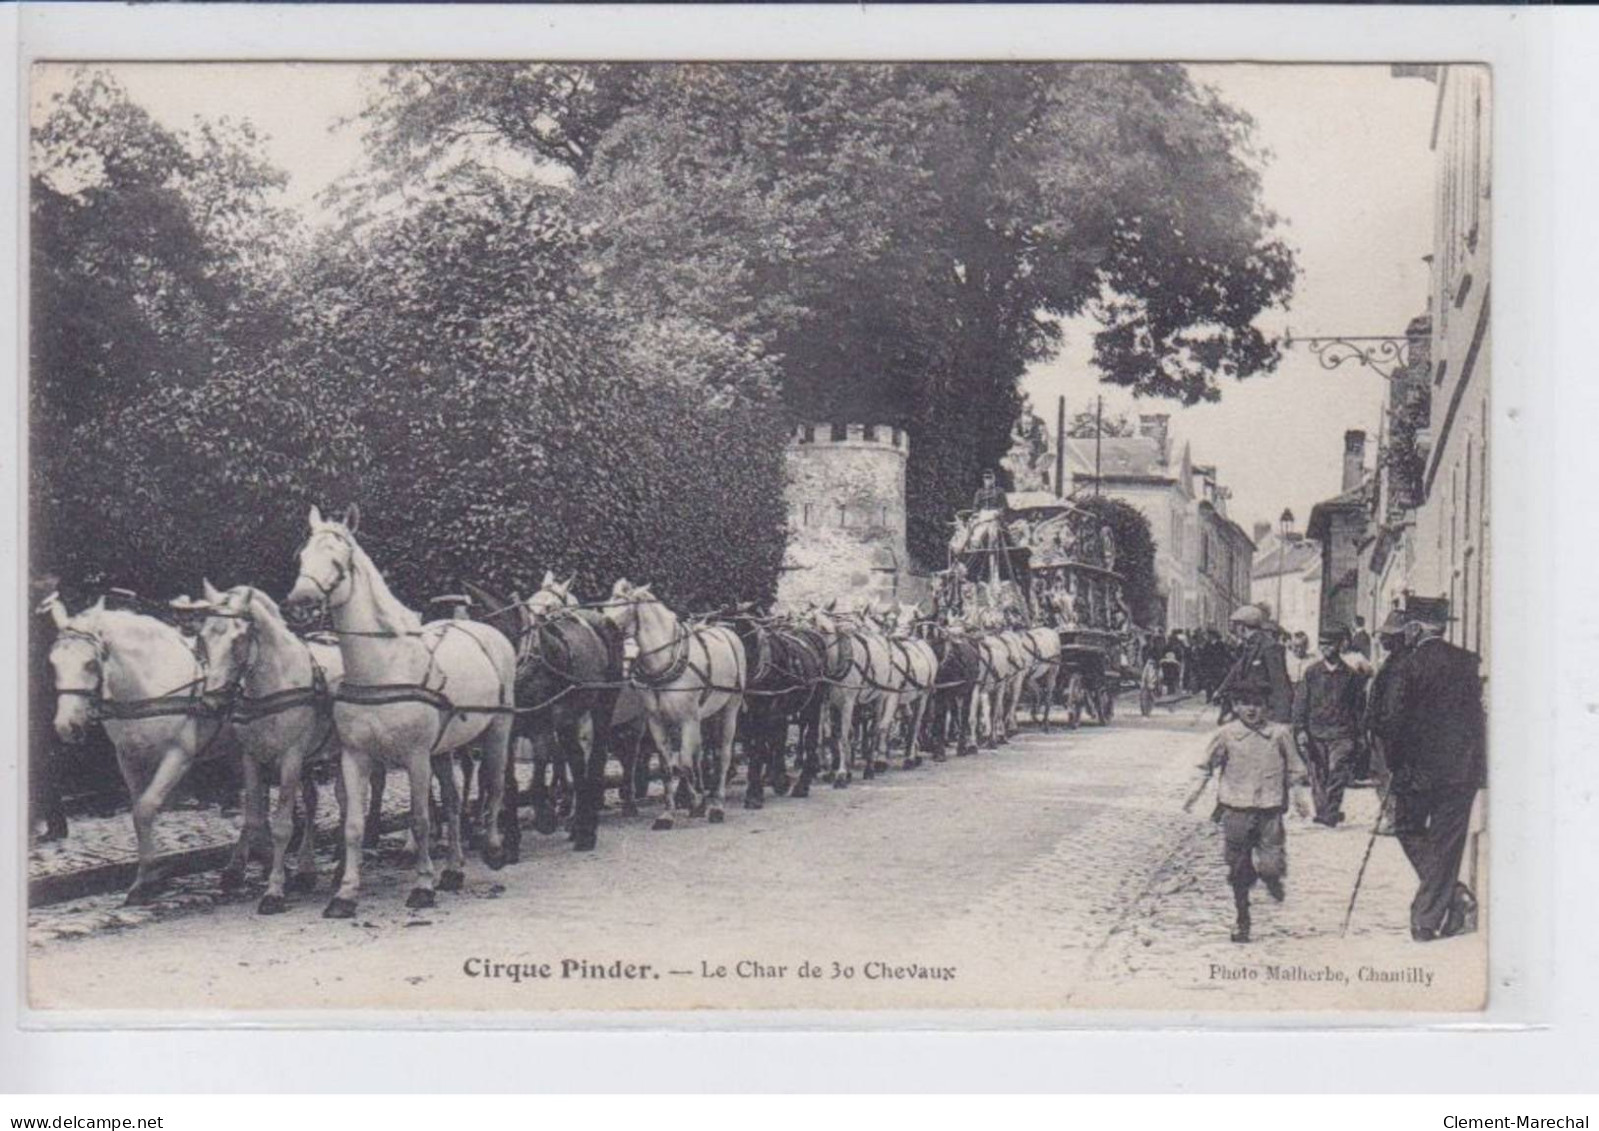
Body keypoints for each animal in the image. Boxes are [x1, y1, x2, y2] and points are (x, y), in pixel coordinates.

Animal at [38, 591, 236, 902]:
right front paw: (145, 878)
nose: (66, 727)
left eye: (90, 663)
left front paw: (149, 879)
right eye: (53, 663)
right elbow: (136, 812)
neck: (151, 684)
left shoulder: (178, 756)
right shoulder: (129, 759)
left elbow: (146, 808)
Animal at [195, 585, 343, 908]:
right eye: (203, 636)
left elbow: (282, 825)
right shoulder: (251, 759)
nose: (212, 701)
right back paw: (307, 870)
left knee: (348, 801)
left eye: (238, 638)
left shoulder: (290, 758)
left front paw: (274, 890)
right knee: (313, 800)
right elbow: (253, 817)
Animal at [283, 505, 511, 921]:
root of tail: (478, 628)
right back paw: (453, 871)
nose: (300, 603)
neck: (383, 666)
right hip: (443, 751)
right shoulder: (355, 756)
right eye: (302, 557)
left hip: (499, 729)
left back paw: (493, 848)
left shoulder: (415, 756)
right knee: (453, 803)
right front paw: (345, 894)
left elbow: (420, 820)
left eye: (339, 561)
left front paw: (422, 887)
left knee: (495, 784)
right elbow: (354, 824)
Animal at [601, 579, 745, 825]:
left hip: (729, 709)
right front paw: (668, 814)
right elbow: (668, 767)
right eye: (607, 604)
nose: (603, 625)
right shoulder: (657, 722)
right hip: (705, 716)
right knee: (703, 754)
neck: (666, 662)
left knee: (723, 755)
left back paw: (717, 806)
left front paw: (695, 802)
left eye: (624, 606)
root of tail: (727, 631)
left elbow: (684, 763)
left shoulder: (687, 719)